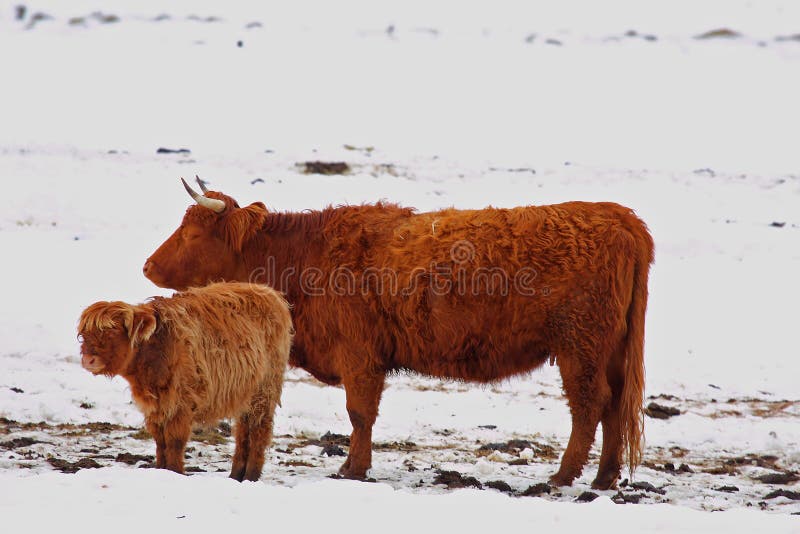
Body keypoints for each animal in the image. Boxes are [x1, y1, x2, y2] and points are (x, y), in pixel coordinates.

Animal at [76, 282, 290, 484]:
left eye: (112, 331)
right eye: (84, 335)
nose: (88, 360)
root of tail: (270, 292)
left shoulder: (181, 403)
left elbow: (174, 442)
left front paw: (174, 472)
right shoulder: (156, 408)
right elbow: (160, 442)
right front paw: (161, 470)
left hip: (265, 390)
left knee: (259, 430)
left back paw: (250, 476)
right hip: (246, 393)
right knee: (243, 431)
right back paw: (236, 475)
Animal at [145, 179, 656, 490]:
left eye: (192, 234)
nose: (148, 265)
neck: (304, 257)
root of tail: (620, 216)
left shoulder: (360, 357)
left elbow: (359, 415)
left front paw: (353, 469)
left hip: (579, 346)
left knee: (589, 406)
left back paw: (564, 476)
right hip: (609, 350)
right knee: (614, 406)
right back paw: (604, 477)